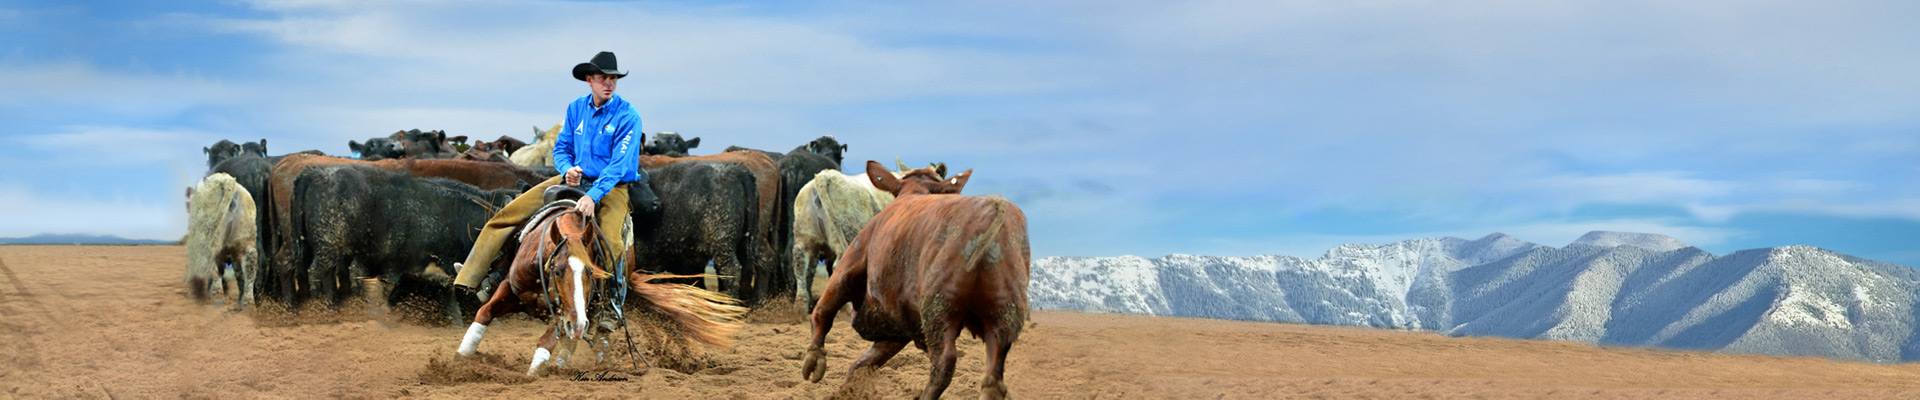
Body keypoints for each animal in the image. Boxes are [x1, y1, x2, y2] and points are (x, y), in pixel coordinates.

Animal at [455, 198, 741, 376]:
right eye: (558, 270)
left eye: (592, 272)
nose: (578, 323)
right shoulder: (510, 289)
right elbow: (484, 314)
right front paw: (458, 361)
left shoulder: (566, 314)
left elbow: (547, 341)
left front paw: (533, 374)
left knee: (590, 335)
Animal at [798, 160, 1029, 400]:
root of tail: (992, 211)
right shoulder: (898, 327)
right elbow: (863, 364)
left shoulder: (852, 262)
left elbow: (824, 310)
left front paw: (814, 360)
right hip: (1004, 312)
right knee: (993, 369)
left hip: (939, 308)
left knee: (944, 361)